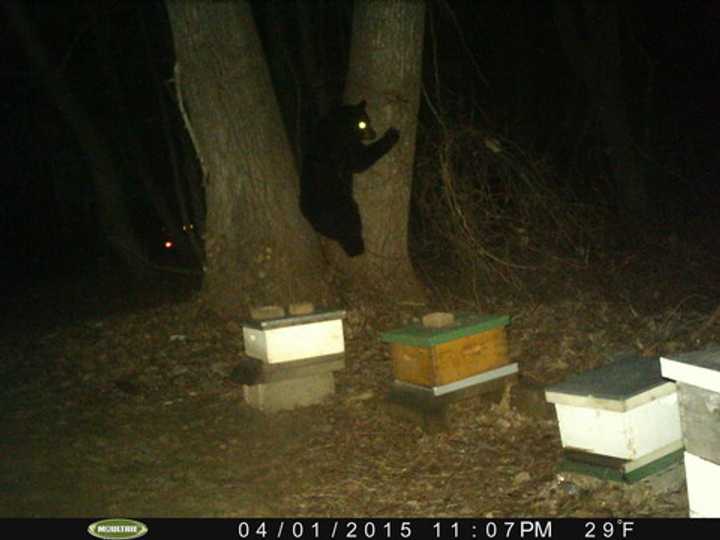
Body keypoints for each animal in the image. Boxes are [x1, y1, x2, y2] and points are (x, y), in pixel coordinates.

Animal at [298, 100, 400, 258]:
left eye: (369, 120)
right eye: (362, 124)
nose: (374, 133)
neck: (338, 123)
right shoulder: (345, 144)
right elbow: (360, 161)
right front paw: (391, 135)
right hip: (344, 208)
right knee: (351, 230)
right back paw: (358, 248)